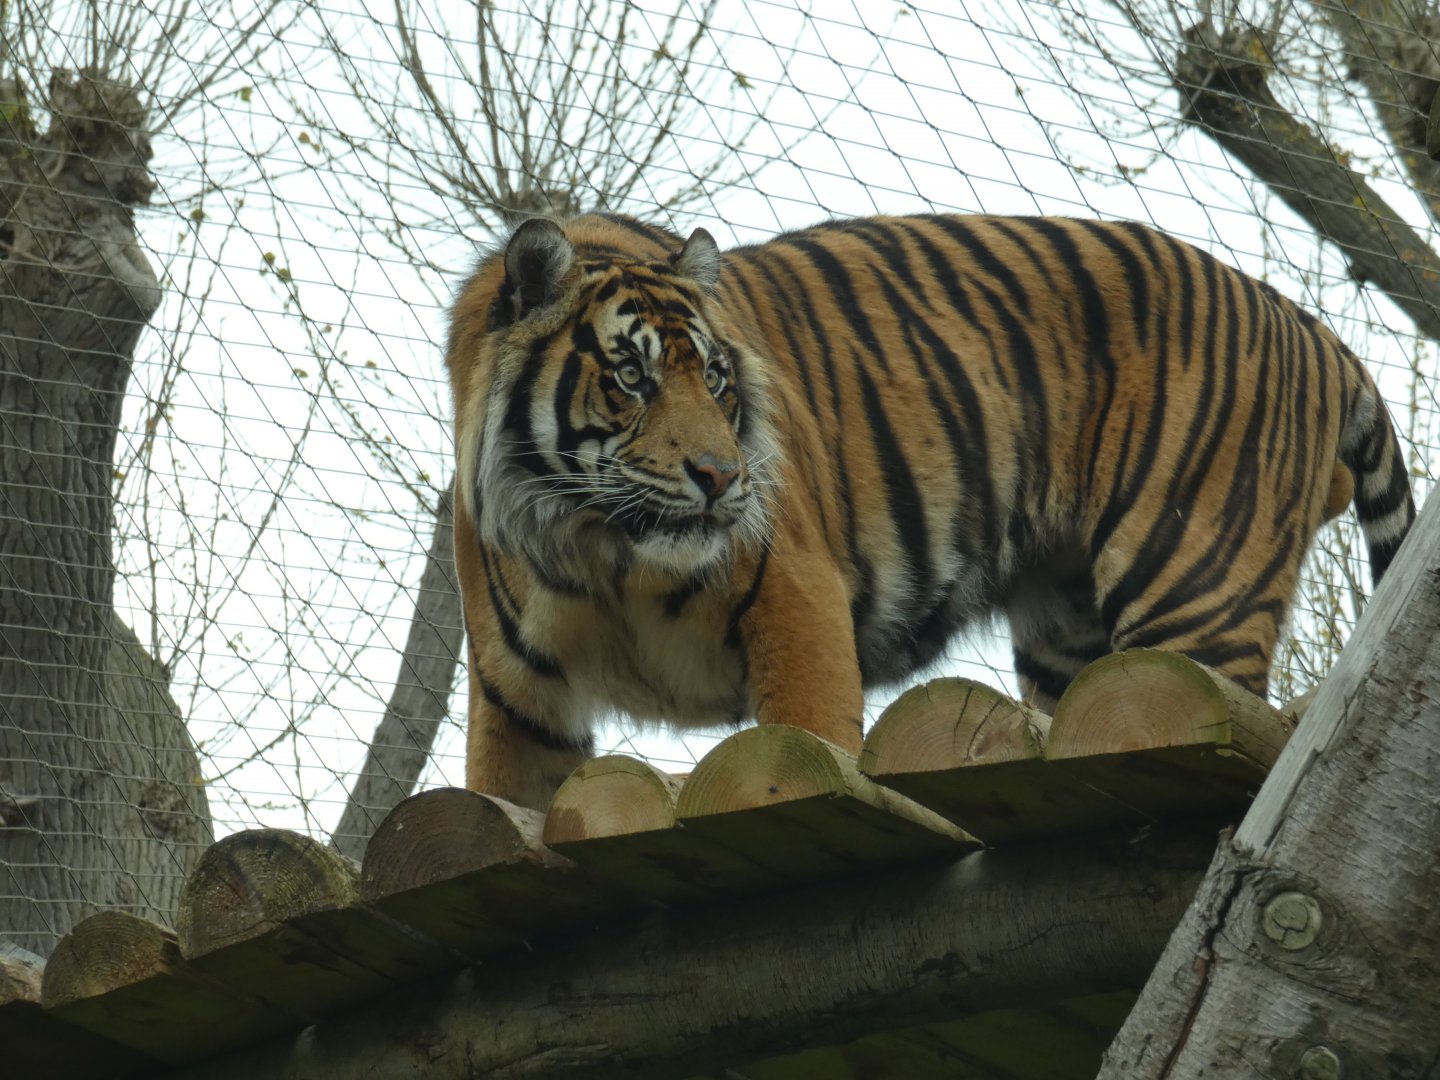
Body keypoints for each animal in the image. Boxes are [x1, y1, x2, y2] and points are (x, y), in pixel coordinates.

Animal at [445, 212, 1416, 810]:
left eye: (715, 377)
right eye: (631, 376)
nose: (720, 477)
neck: (602, 550)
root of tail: (1312, 329)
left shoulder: (796, 599)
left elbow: (805, 745)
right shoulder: (518, 700)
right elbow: (500, 799)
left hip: (1192, 594)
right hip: (1069, 639)